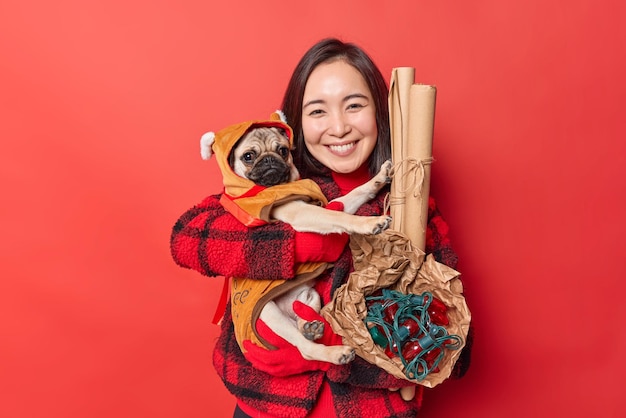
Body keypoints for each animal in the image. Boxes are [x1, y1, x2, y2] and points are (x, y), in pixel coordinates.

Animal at [202, 125, 392, 366]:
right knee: (304, 349)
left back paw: (309, 327)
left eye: (283, 150)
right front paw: (368, 224)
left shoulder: (329, 205)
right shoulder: (302, 212)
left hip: (310, 297)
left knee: (302, 321)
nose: (269, 160)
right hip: (269, 313)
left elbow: (353, 195)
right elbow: (339, 217)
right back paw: (334, 352)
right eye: (248, 156)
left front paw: (378, 179)